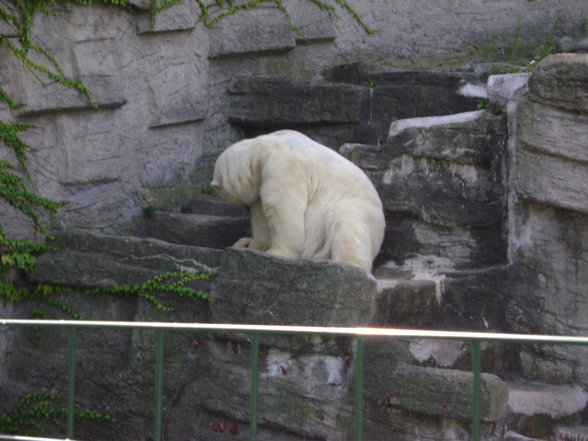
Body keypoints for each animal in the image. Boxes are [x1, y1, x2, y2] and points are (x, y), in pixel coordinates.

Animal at [211, 129, 386, 272]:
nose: (246, 208)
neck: (263, 147)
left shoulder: (282, 165)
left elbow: (282, 207)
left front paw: (277, 252)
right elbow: (261, 216)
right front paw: (257, 244)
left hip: (364, 213)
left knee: (345, 218)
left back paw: (346, 264)